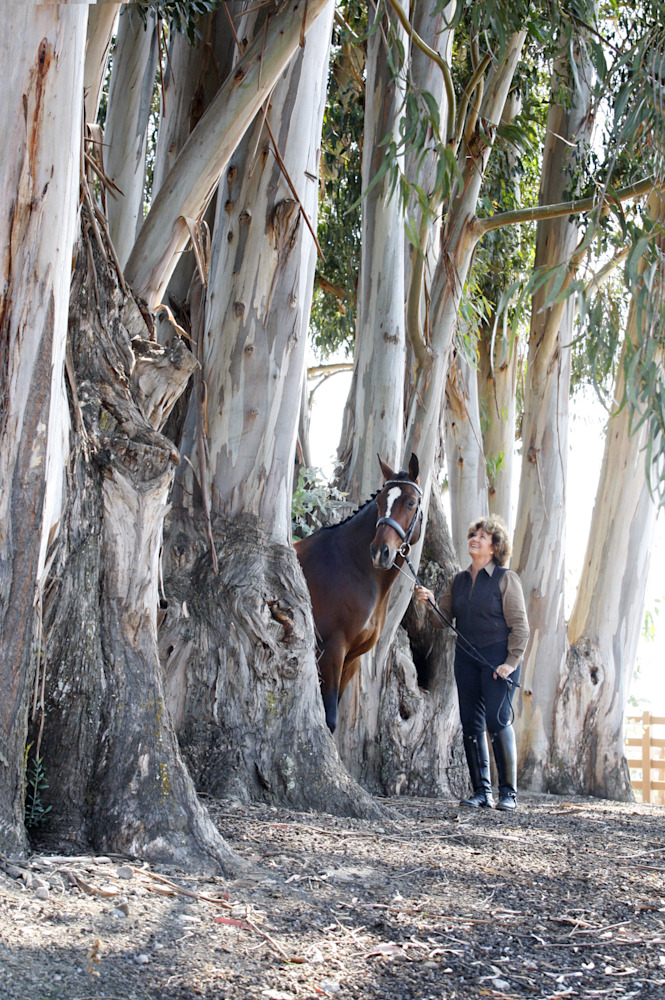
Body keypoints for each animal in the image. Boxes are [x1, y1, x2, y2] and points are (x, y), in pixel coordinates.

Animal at [295, 453, 422, 732]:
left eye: (410, 502)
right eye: (379, 502)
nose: (380, 552)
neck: (351, 567)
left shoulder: (351, 659)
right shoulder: (332, 650)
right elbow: (329, 719)